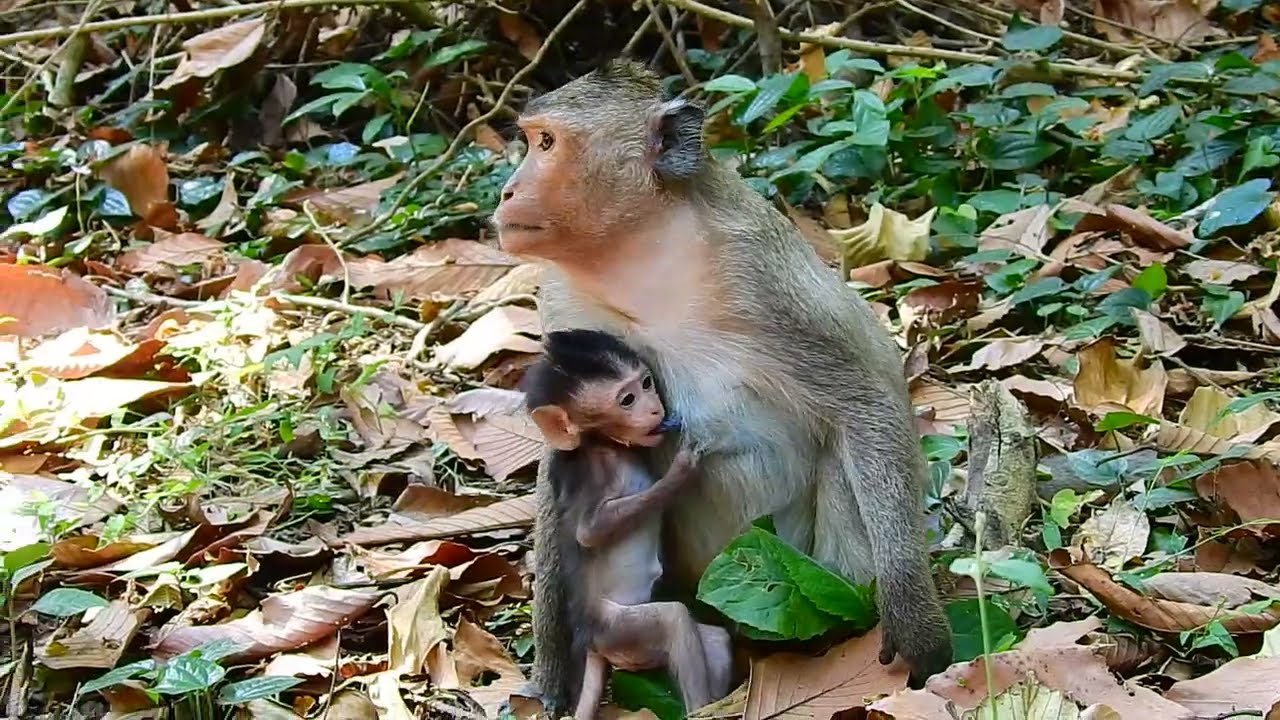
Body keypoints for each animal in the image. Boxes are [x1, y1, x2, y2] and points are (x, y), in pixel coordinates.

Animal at [520, 328, 734, 719]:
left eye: (647, 383)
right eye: (627, 399)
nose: (655, 409)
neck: (608, 445)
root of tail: (592, 644)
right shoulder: (591, 473)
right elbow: (590, 532)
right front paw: (682, 468)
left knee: (713, 638)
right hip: (615, 629)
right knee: (672, 620)